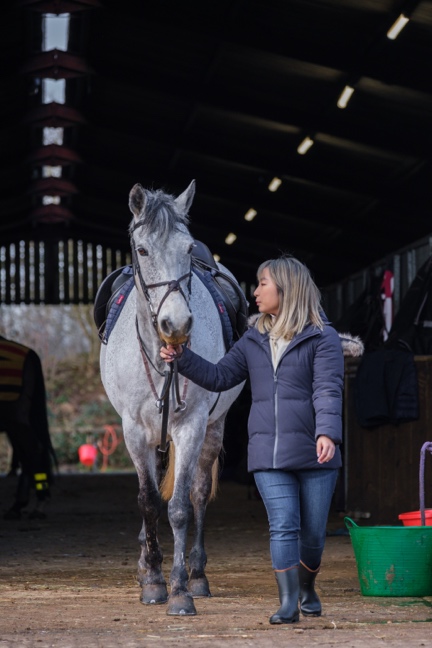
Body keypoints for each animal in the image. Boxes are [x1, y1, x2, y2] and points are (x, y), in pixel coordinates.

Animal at [99, 180, 246, 616]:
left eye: (187, 247)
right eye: (143, 250)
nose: (176, 324)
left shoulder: (192, 425)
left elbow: (180, 506)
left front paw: (179, 589)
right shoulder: (133, 430)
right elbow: (148, 501)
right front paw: (152, 578)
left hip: (212, 428)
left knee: (197, 493)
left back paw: (196, 574)